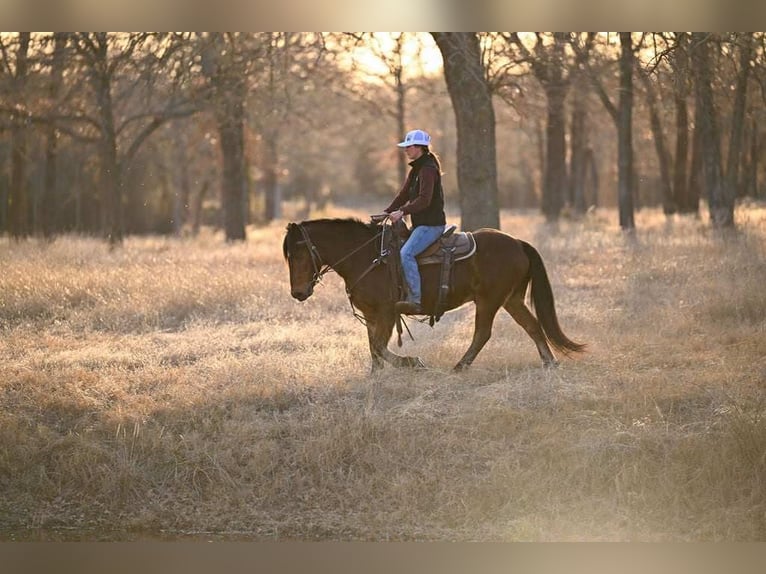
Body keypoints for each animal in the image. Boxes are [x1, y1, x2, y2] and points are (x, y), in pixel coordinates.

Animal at [283, 217, 585, 372]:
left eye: (299, 251)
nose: (298, 292)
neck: (368, 256)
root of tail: (518, 243)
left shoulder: (387, 312)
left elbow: (380, 346)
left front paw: (412, 362)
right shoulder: (371, 315)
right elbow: (373, 348)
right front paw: (375, 377)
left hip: (489, 301)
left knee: (483, 333)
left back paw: (460, 367)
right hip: (511, 299)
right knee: (532, 325)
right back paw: (549, 362)